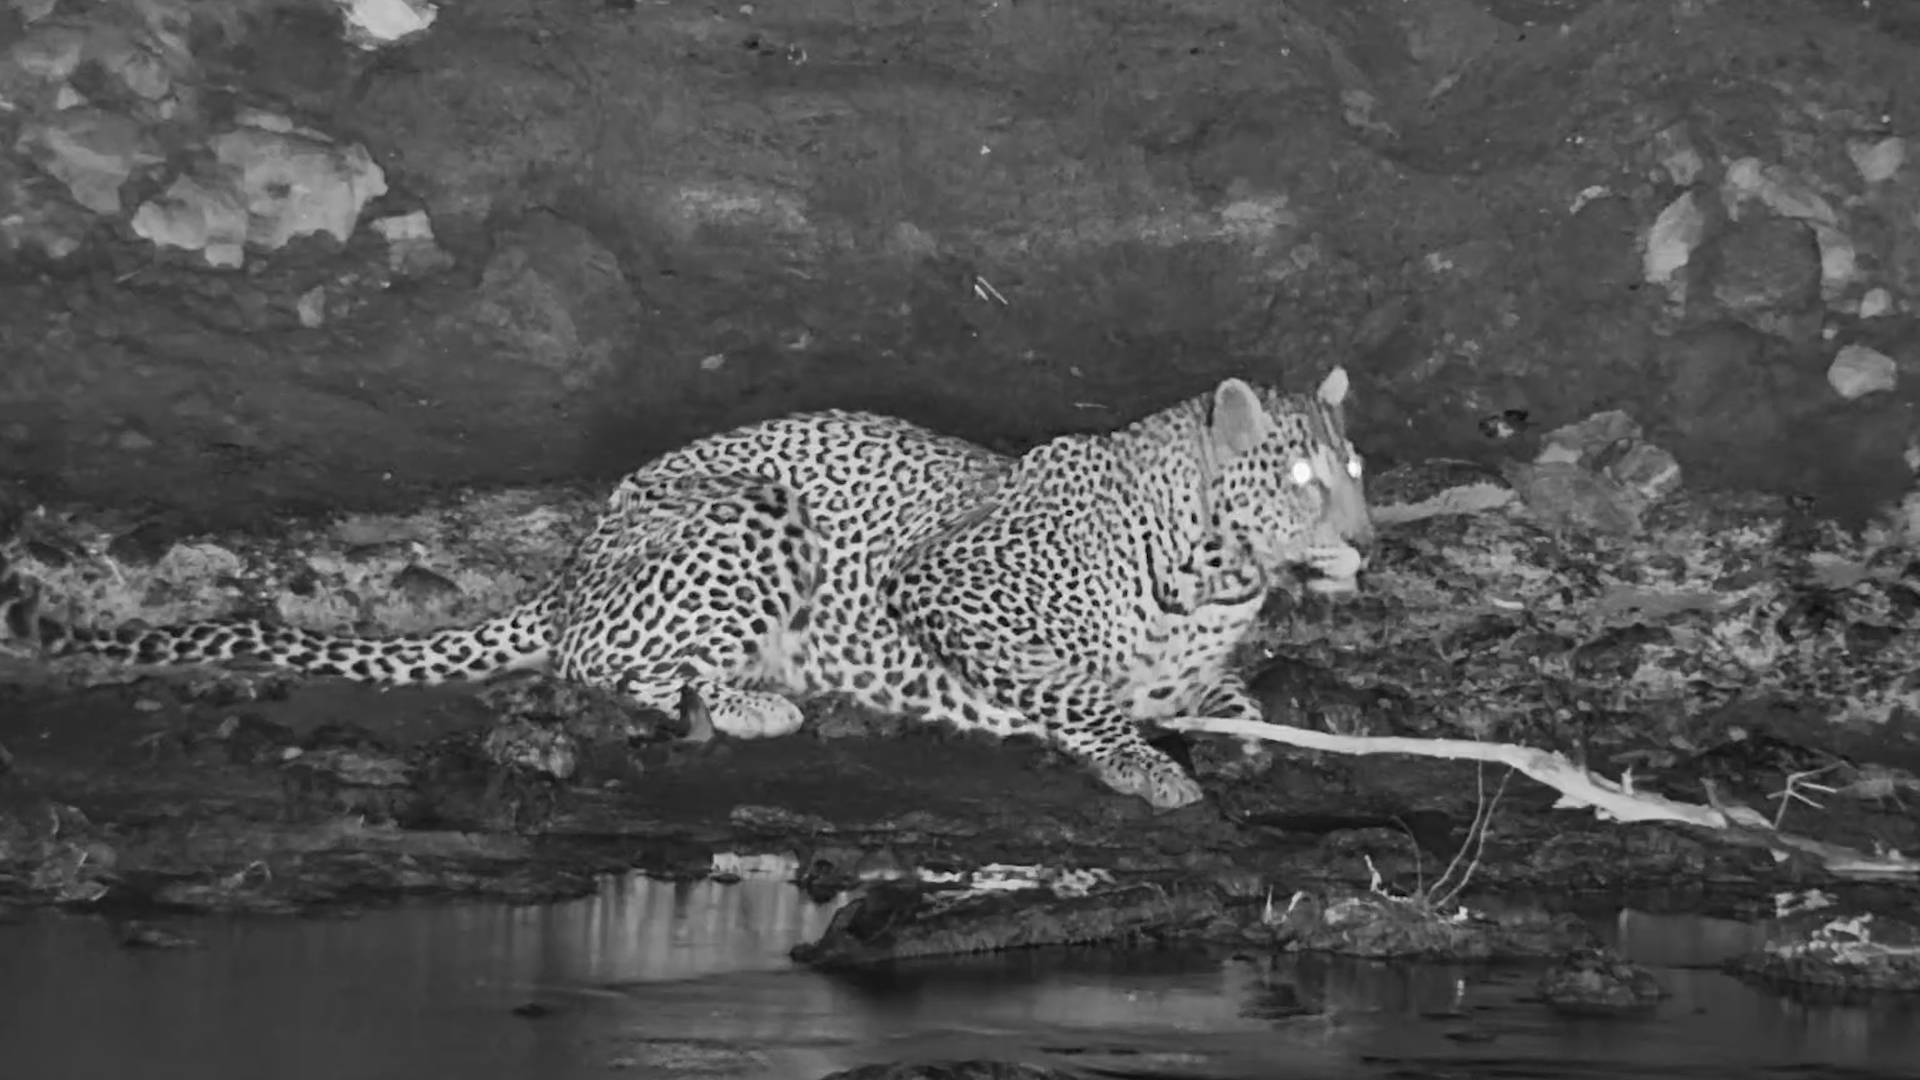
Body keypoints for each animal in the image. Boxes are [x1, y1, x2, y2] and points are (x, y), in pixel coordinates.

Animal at [0, 368, 1373, 809]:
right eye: (1304, 480)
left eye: (1360, 476)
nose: (1364, 546)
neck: (1218, 569)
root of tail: (570, 560)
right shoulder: (946, 590)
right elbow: (1078, 690)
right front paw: (1146, 765)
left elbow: (1229, 695)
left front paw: (1252, 725)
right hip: (747, 513)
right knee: (594, 664)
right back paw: (758, 700)